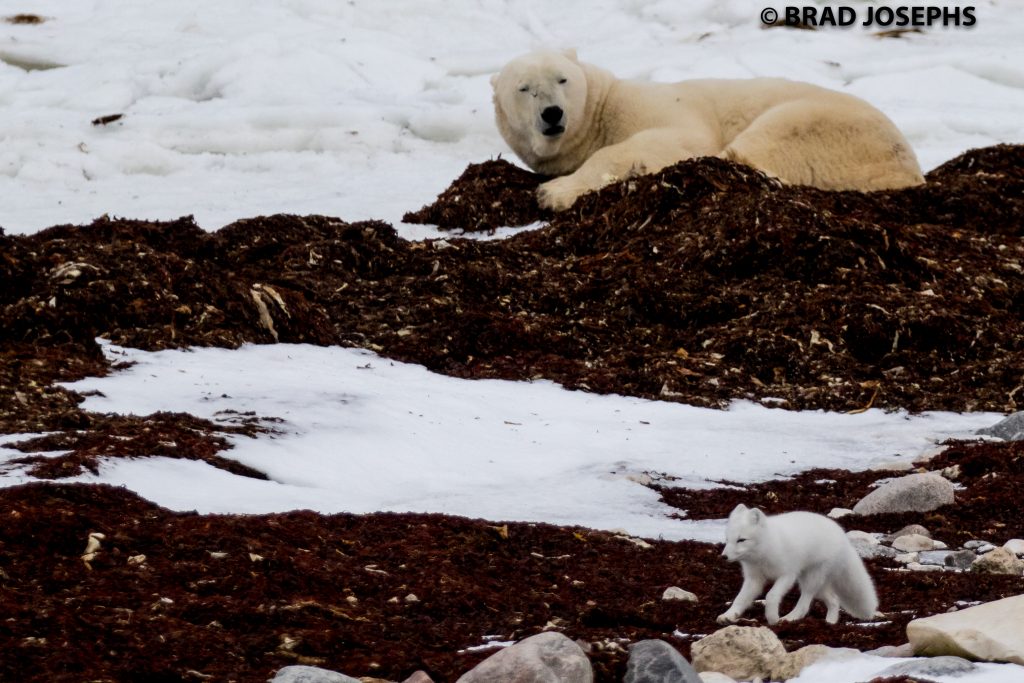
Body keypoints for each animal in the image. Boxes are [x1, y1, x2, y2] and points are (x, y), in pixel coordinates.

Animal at [491, 49, 925, 211]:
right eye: (524, 88)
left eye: (562, 79)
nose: (552, 113)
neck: (602, 109)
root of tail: (909, 169)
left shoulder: (652, 107)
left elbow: (676, 138)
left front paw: (554, 193)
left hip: (831, 126)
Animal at [716, 503, 878, 625]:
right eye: (727, 539)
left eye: (741, 540)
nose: (724, 557)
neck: (764, 551)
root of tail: (843, 537)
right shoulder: (754, 579)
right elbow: (740, 598)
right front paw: (728, 615)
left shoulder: (787, 575)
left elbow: (771, 595)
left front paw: (772, 618)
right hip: (817, 584)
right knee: (833, 600)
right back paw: (830, 623)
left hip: (811, 579)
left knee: (805, 603)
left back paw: (789, 618)